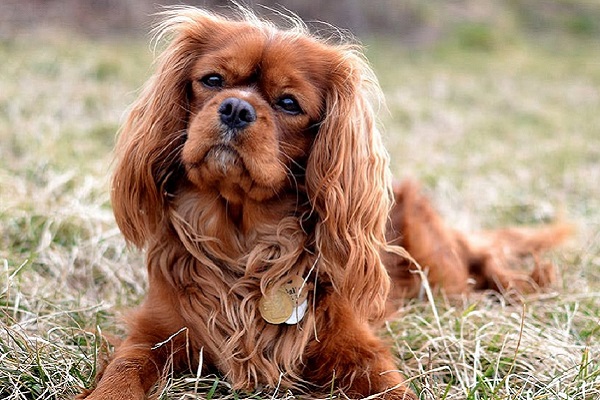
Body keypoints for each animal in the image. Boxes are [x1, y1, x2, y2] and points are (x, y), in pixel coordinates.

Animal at [78, 6, 568, 400]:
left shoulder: (359, 348)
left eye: (289, 103)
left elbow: (392, 387)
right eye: (212, 80)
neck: (244, 240)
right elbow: (125, 369)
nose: (235, 108)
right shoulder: (153, 332)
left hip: (442, 273)